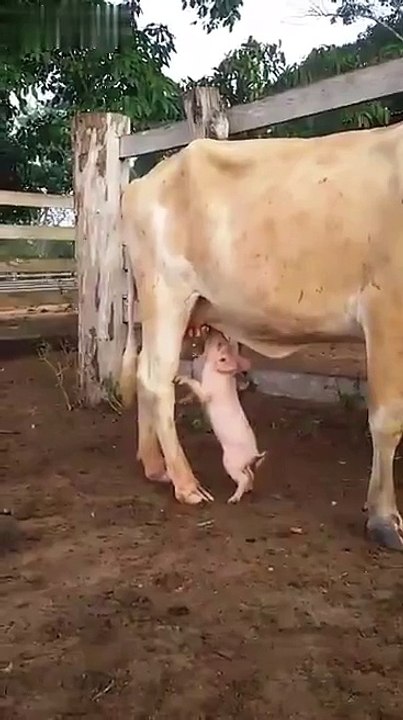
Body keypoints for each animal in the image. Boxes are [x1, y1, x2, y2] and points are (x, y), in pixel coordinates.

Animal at [175, 330, 267, 503]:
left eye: (220, 346)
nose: (215, 332)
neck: (219, 373)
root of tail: (253, 454)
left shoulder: (207, 392)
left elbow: (197, 386)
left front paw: (180, 379)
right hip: (242, 464)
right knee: (249, 474)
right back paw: (248, 490)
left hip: (230, 462)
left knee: (243, 478)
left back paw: (233, 499)